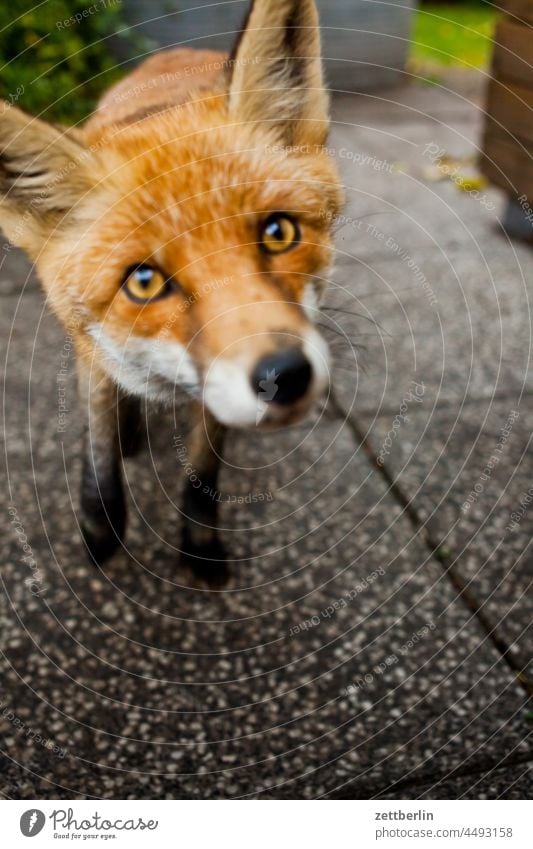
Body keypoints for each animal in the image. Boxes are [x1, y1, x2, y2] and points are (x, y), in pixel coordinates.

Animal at [0, 1, 344, 568]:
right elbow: (98, 452)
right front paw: (100, 533)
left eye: (278, 232)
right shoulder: (91, 356)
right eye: (143, 282)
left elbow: (205, 465)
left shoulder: (216, 393)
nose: (286, 376)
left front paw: (199, 545)